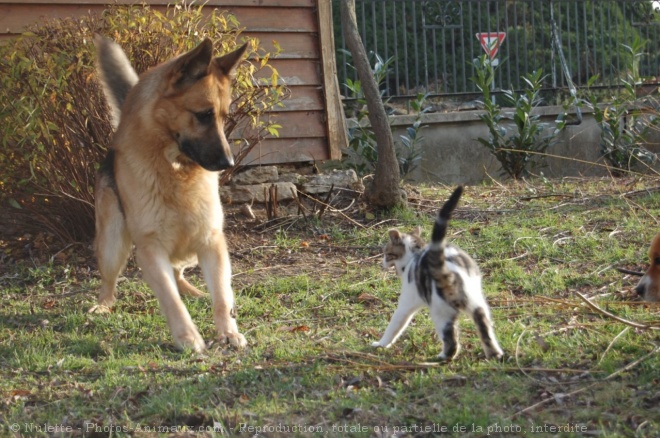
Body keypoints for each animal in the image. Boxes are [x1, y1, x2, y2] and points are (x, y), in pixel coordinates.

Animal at [91, 36, 246, 352]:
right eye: (203, 116)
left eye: (224, 117)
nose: (229, 163)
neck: (175, 170)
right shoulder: (150, 250)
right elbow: (171, 299)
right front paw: (188, 337)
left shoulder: (211, 241)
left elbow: (222, 295)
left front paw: (228, 331)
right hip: (113, 245)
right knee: (109, 282)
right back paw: (103, 305)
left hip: (188, 249)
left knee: (179, 273)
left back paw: (196, 292)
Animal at [372, 186, 506, 362]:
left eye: (386, 253)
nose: (381, 263)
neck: (414, 254)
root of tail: (450, 270)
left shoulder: (406, 303)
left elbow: (395, 325)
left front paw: (381, 344)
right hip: (477, 302)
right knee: (485, 329)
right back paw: (494, 355)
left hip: (441, 311)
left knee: (451, 341)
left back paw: (441, 357)